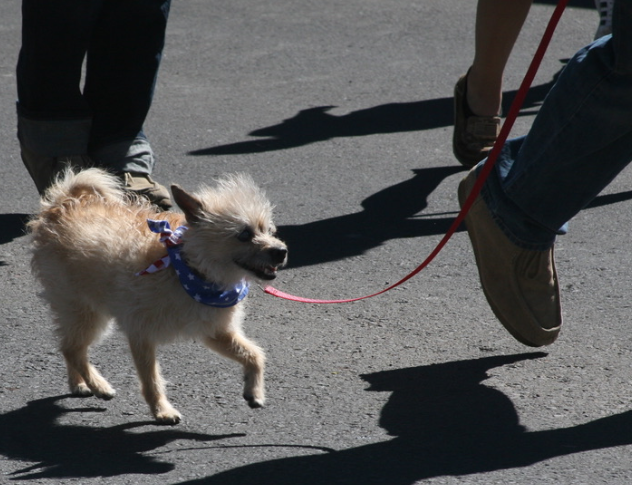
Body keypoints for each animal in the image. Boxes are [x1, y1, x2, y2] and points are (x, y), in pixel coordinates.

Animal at [27, 169, 286, 424]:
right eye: (243, 234)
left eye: (268, 231)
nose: (281, 251)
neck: (188, 268)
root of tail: (62, 205)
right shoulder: (141, 332)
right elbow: (151, 379)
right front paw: (162, 411)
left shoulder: (215, 331)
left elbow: (254, 354)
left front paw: (254, 392)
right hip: (84, 310)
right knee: (72, 348)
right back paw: (98, 385)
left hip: (79, 311)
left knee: (69, 345)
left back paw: (79, 383)